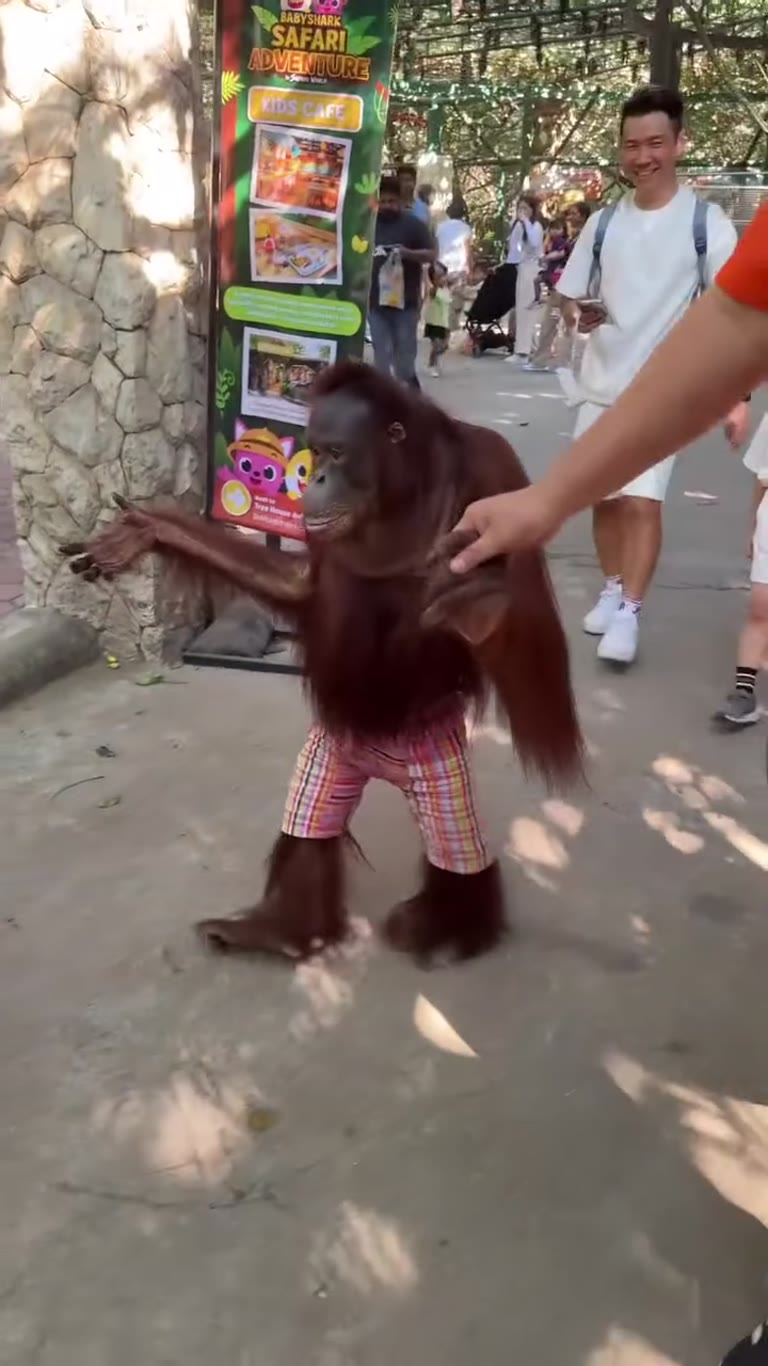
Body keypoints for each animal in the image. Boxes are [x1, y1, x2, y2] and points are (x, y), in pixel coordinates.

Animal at [62, 361, 583, 966]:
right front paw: (151, 528)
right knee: (311, 819)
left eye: (338, 453)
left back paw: (450, 929)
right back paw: (288, 930)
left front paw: (478, 604)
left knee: (454, 839)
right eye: (314, 453)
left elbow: (533, 628)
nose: (311, 482)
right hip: (335, 749)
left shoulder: (501, 479)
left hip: (438, 761)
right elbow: (301, 584)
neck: (398, 493)